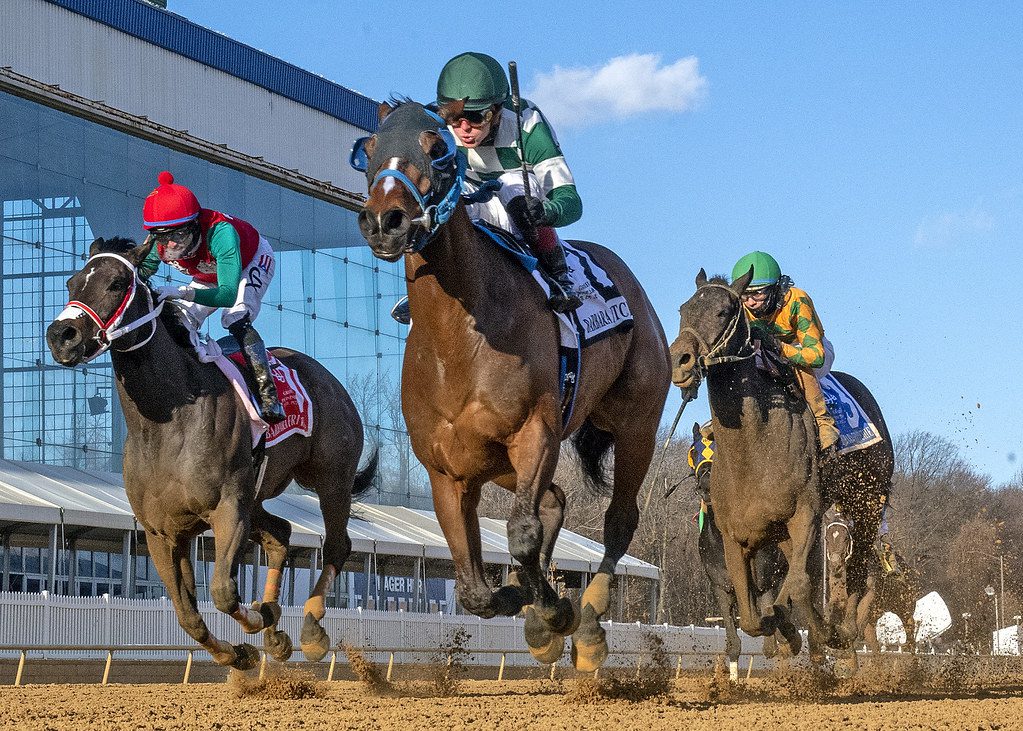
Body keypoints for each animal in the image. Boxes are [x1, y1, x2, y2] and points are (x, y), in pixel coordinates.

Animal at [47, 239, 376, 670]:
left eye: (117, 283)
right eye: (71, 282)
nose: (60, 335)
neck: (167, 423)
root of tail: (330, 380)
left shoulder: (228, 508)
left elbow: (222, 591)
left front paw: (259, 621)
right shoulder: (163, 531)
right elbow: (188, 613)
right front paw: (239, 652)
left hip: (331, 478)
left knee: (338, 544)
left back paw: (310, 630)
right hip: (258, 495)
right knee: (281, 534)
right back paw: (276, 637)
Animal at [353, 100, 671, 670]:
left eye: (437, 147)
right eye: (368, 148)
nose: (385, 221)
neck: (460, 337)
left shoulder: (535, 434)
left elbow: (520, 539)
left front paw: (554, 612)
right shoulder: (447, 468)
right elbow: (473, 590)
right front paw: (531, 608)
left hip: (636, 423)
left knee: (618, 519)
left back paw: (589, 617)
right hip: (496, 462)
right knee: (554, 501)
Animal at [666, 271, 892, 678]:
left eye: (723, 311)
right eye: (683, 310)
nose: (680, 360)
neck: (754, 450)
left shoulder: (805, 513)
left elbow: (798, 587)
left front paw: (820, 634)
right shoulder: (737, 536)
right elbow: (752, 616)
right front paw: (785, 633)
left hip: (867, 500)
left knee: (858, 570)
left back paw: (843, 630)